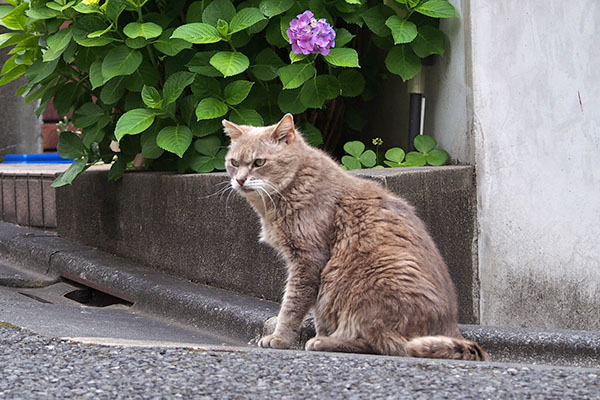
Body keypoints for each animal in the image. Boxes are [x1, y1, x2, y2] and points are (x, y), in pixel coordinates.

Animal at [223, 114, 490, 360]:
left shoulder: (309, 260)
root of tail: (452, 329)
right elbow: (318, 311)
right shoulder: (317, 272)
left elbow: (292, 304)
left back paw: (327, 342)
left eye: (259, 162)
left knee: (386, 344)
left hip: (372, 283)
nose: (240, 179)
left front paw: (280, 338)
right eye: (233, 162)